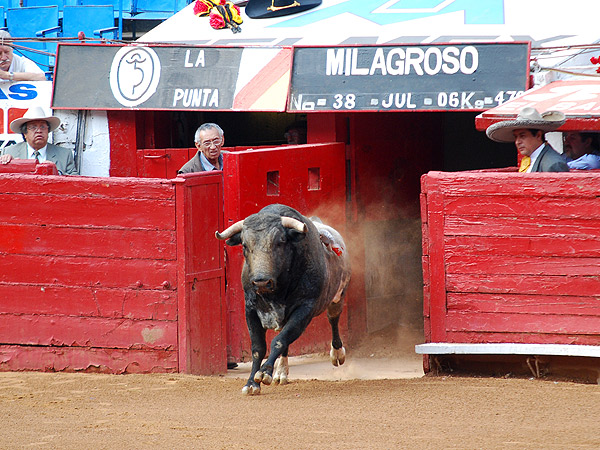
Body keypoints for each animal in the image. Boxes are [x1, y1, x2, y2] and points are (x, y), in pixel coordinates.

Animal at [216, 204, 350, 394]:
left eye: (280, 242)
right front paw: (251, 383)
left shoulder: (304, 310)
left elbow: (278, 341)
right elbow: (259, 348)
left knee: (333, 320)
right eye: (244, 245)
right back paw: (281, 372)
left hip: (338, 297)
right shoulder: (250, 310)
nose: (261, 281)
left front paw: (264, 372)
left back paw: (337, 353)